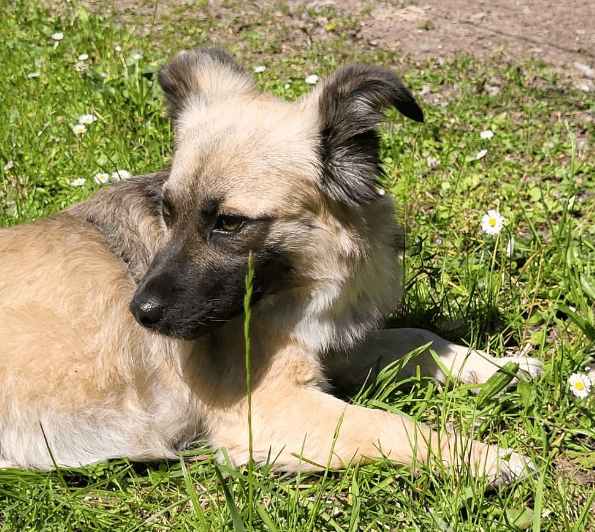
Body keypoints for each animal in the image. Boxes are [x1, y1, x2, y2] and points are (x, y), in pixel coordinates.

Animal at [0, 47, 544, 484]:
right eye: (168, 212)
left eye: (229, 222)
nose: (141, 314)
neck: (300, 283)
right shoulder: (272, 409)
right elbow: (391, 422)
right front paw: (485, 458)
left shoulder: (327, 348)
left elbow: (418, 337)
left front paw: (504, 366)